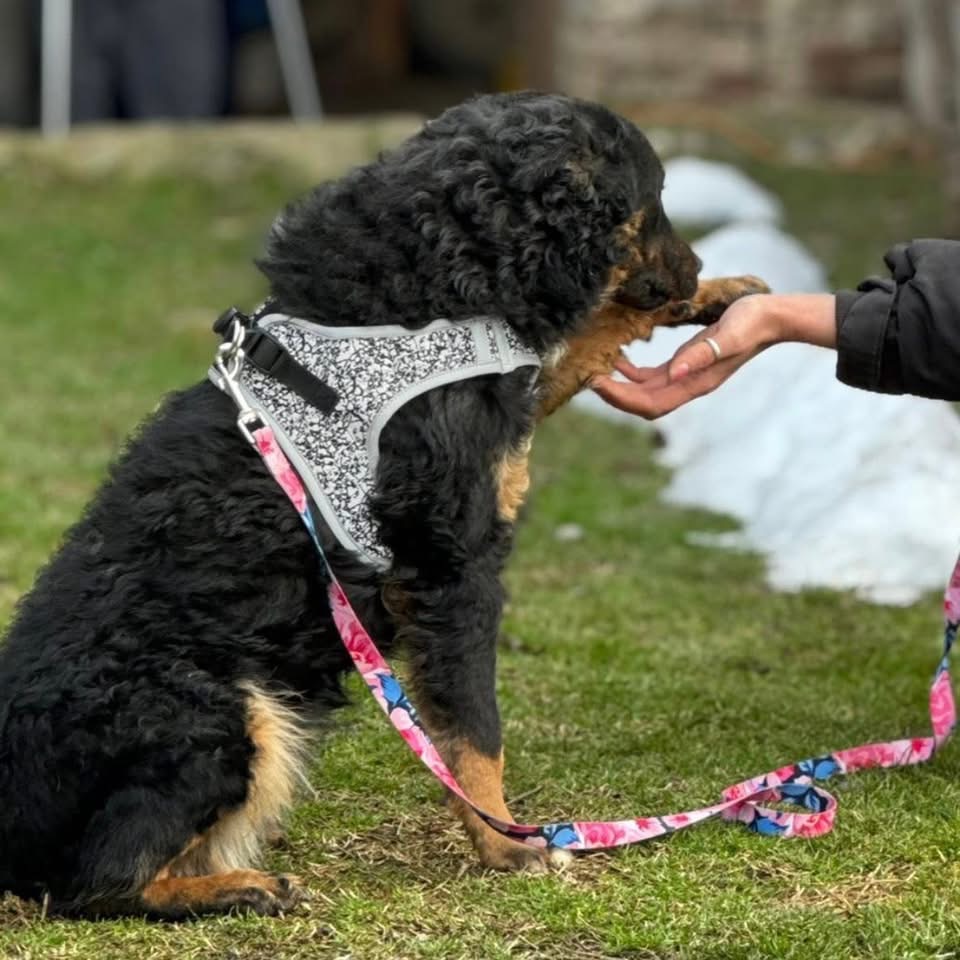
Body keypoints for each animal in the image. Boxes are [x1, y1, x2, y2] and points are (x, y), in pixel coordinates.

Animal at [0, 92, 764, 918]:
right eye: (654, 202)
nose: (692, 269)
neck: (416, 291)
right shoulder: (451, 571)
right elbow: (475, 737)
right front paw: (508, 844)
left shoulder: (502, 405)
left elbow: (582, 345)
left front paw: (726, 294)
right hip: (221, 713)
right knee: (99, 881)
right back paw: (242, 888)